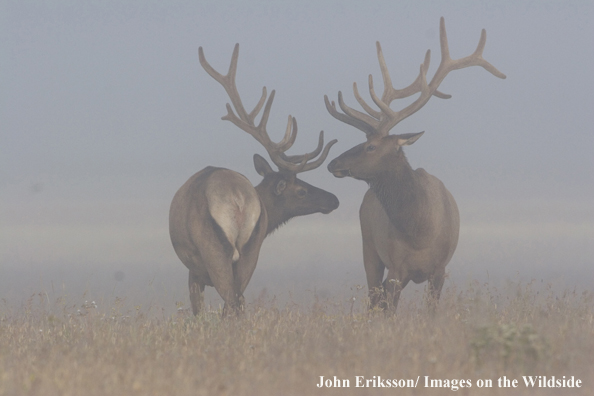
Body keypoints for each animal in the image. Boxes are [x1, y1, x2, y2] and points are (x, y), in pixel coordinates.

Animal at [170, 44, 338, 316]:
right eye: (301, 190)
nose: (334, 199)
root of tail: (237, 198)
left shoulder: (193, 271)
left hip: (215, 250)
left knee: (231, 301)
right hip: (251, 250)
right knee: (237, 302)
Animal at [324, 17, 504, 312]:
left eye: (371, 146)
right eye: (365, 140)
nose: (333, 163)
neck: (420, 231)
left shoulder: (440, 269)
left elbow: (430, 312)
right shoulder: (396, 268)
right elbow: (389, 311)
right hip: (369, 248)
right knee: (373, 298)